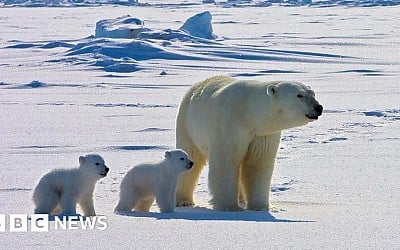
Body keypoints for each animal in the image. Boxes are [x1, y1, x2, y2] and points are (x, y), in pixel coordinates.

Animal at [177, 75, 324, 210]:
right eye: (299, 95)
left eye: (313, 93)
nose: (319, 107)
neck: (249, 113)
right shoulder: (229, 125)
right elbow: (227, 162)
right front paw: (229, 207)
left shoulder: (262, 134)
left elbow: (257, 164)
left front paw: (260, 207)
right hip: (187, 124)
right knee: (191, 157)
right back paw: (184, 201)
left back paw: (241, 199)